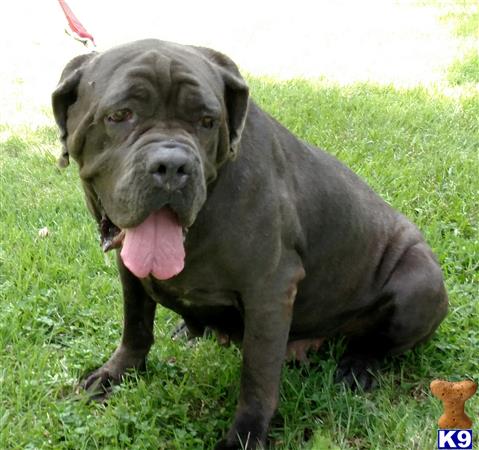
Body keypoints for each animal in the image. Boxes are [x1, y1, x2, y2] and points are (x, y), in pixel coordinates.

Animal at [52, 40, 450, 448]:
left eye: (207, 121)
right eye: (121, 115)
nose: (172, 166)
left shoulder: (270, 291)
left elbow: (257, 376)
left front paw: (244, 435)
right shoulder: (129, 271)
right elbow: (135, 326)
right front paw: (115, 373)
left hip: (420, 281)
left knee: (377, 342)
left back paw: (357, 367)